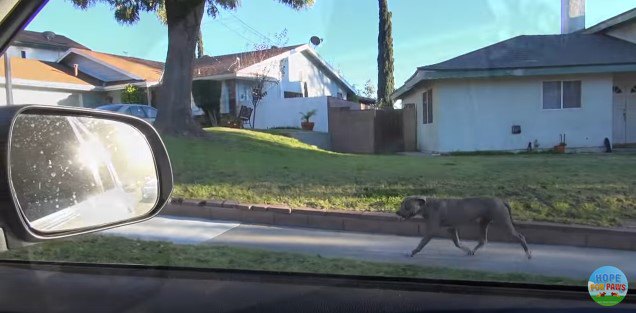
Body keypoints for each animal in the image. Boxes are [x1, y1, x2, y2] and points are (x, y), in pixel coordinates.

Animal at [398, 195, 532, 258]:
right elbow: (457, 243)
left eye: (405, 205)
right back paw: (472, 251)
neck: (427, 206)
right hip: (483, 223)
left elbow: (421, 243)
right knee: (483, 240)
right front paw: (467, 249)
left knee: (520, 236)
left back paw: (528, 254)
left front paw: (412, 252)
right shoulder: (452, 228)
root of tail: (501, 200)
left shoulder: (432, 230)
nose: (397, 212)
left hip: (503, 222)